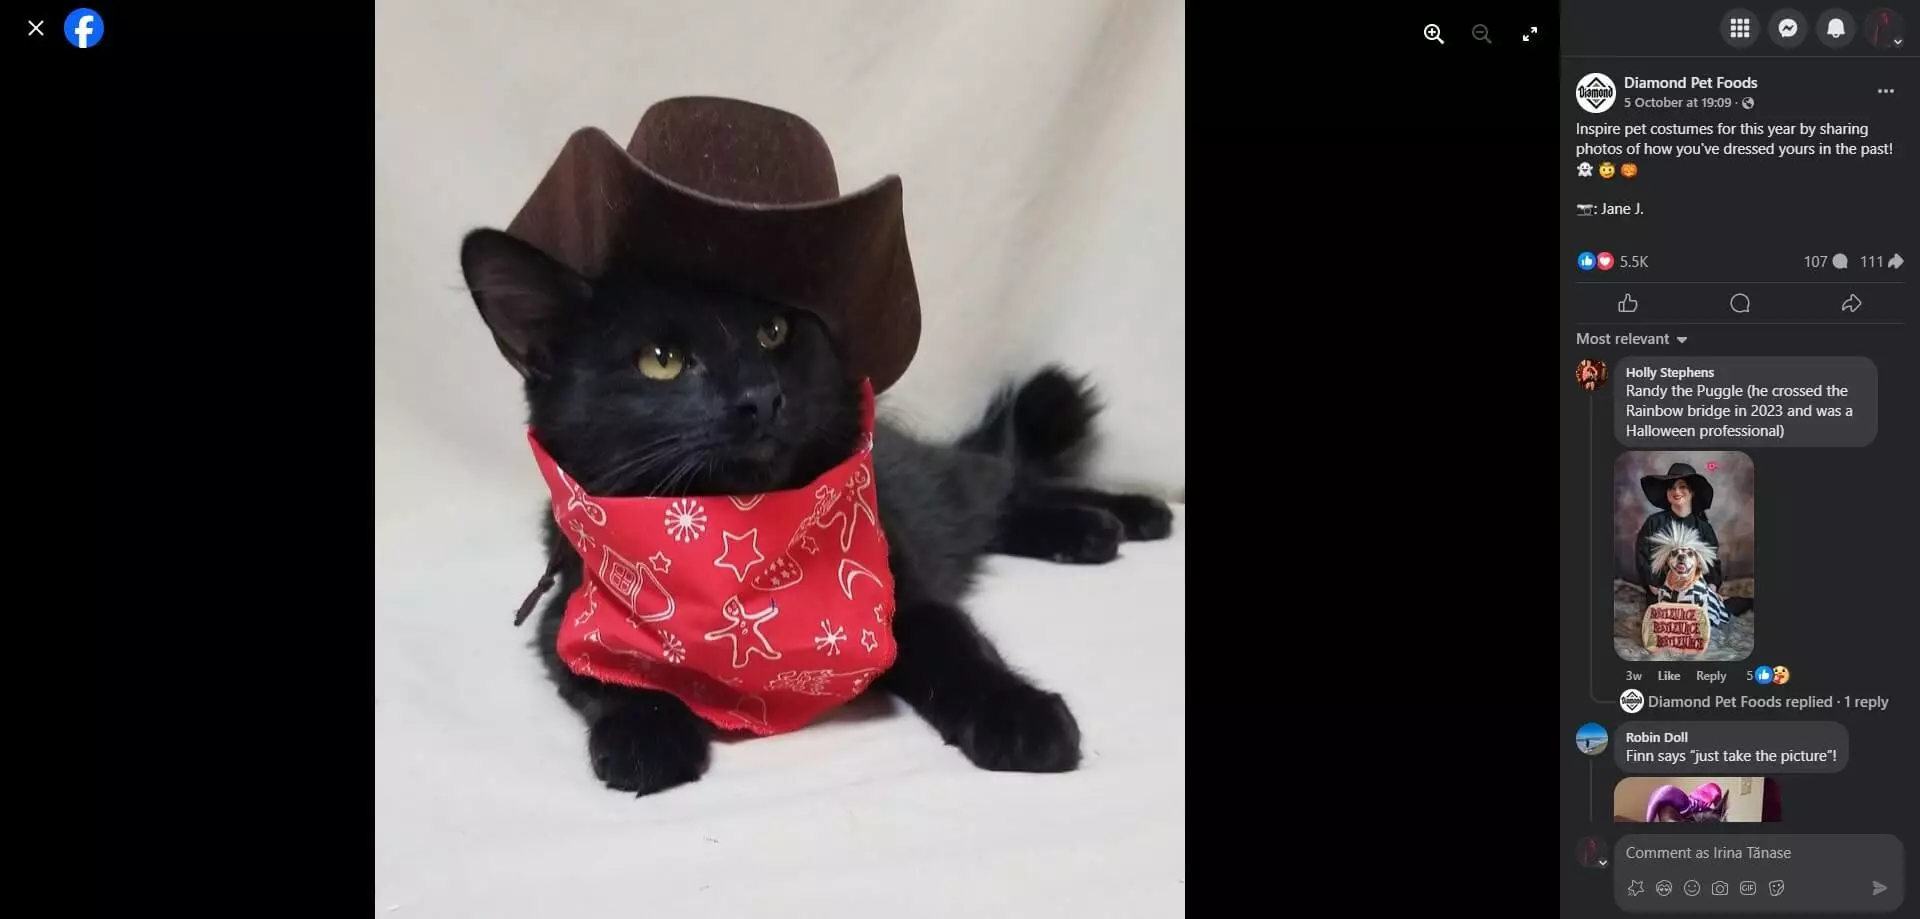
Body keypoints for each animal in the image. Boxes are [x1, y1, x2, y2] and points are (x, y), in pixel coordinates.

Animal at [458, 226, 1175, 794]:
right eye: (660, 361)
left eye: (774, 331)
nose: (759, 396)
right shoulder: (565, 612)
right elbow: (610, 675)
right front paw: (647, 738)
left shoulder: (906, 592)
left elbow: (961, 649)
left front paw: (1019, 715)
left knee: (1006, 484)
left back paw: (1127, 516)